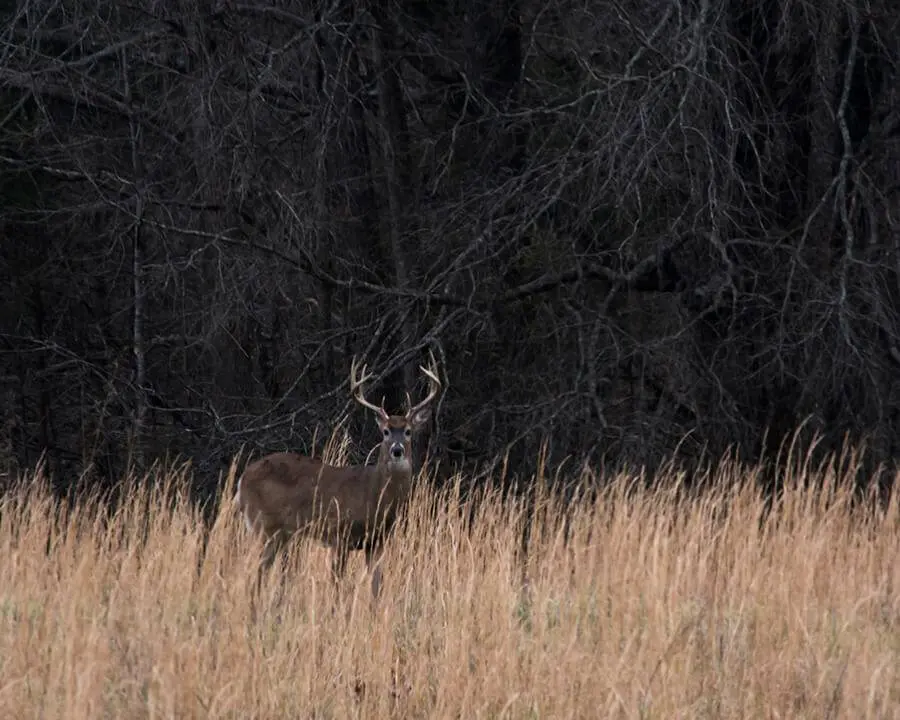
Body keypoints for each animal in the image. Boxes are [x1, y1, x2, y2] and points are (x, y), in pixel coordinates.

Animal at [235, 353, 441, 600]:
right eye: (385, 432)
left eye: (408, 431)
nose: (397, 450)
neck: (374, 496)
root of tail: (242, 479)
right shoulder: (340, 534)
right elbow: (336, 585)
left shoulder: (377, 541)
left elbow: (377, 586)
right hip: (265, 525)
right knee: (255, 572)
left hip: (280, 532)